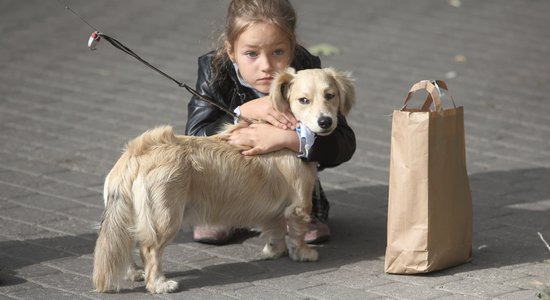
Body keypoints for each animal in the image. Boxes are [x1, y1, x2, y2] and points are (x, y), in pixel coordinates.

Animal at [92, 67, 356, 292]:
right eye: (303, 100)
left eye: (330, 95)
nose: (325, 122)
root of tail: (135, 155)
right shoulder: (300, 204)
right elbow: (297, 232)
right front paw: (303, 253)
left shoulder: (275, 210)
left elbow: (276, 229)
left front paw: (274, 250)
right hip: (165, 217)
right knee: (149, 249)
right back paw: (159, 284)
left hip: (132, 214)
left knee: (129, 243)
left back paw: (134, 273)